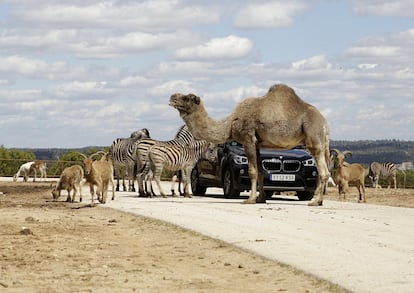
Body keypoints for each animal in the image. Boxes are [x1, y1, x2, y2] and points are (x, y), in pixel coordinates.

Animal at [168, 83, 330, 204]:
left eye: (187, 98)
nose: (172, 97)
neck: (231, 123)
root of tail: (324, 122)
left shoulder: (248, 138)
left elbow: (252, 171)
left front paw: (250, 200)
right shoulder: (257, 144)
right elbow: (260, 172)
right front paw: (261, 199)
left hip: (313, 136)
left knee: (324, 171)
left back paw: (315, 202)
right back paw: (319, 200)